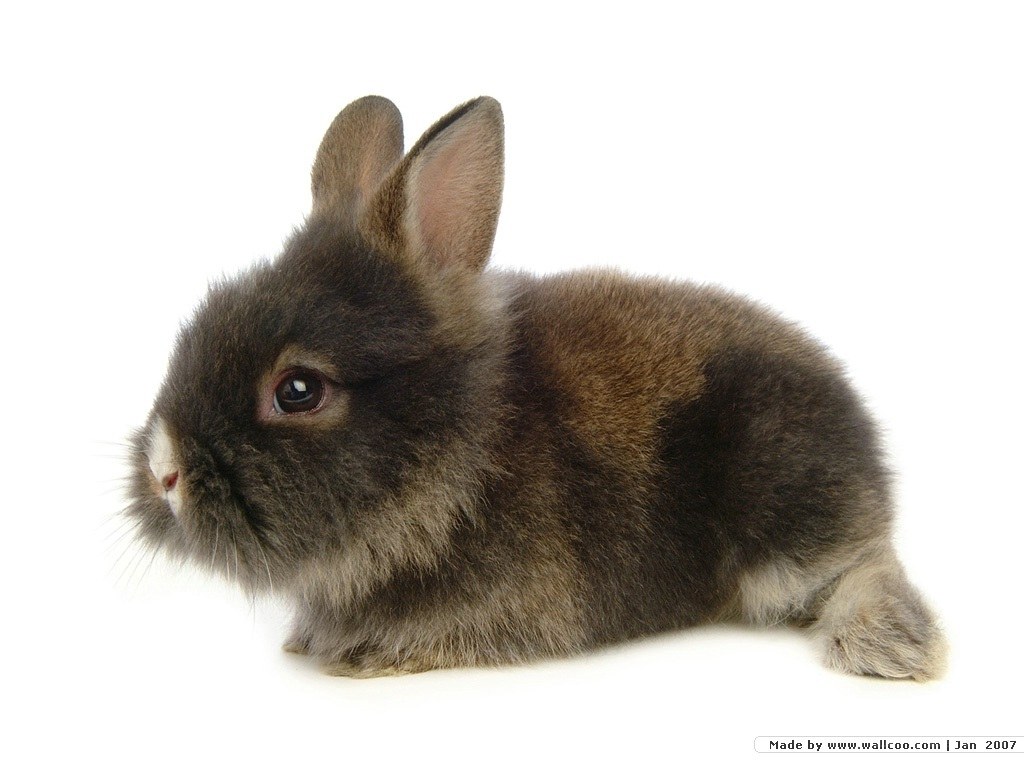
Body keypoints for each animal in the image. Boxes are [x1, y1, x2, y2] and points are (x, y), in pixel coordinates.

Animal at [126, 95, 946, 680]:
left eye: (298, 390)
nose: (165, 471)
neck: (463, 455)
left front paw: (368, 655)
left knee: (861, 566)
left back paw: (889, 646)